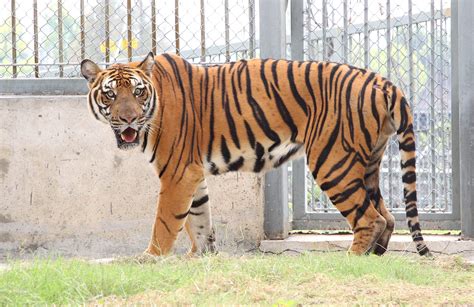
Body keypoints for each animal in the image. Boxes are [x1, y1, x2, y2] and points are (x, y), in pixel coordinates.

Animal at [79, 52, 432, 258]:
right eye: (110, 94)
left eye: (138, 92)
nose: (128, 119)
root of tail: (383, 81)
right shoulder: (193, 173)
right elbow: (199, 218)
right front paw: (201, 259)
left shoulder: (177, 173)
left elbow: (166, 222)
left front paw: (150, 260)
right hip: (368, 161)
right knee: (387, 216)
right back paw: (375, 259)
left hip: (332, 162)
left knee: (370, 218)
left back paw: (351, 262)